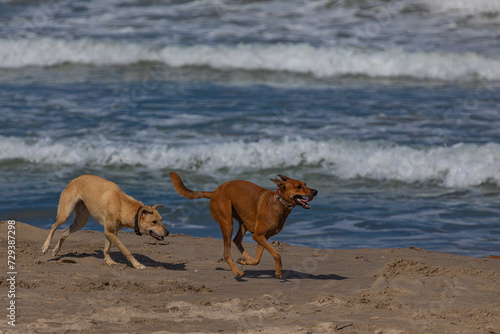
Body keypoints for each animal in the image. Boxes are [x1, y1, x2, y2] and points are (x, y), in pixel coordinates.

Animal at [41, 175, 170, 268]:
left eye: (161, 220)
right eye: (154, 222)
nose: (167, 233)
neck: (122, 206)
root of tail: (74, 180)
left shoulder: (111, 232)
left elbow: (107, 248)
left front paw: (109, 261)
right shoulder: (110, 232)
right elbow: (125, 250)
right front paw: (137, 264)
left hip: (81, 220)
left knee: (64, 232)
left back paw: (56, 250)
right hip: (65, 213)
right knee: (53, 226)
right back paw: (46, 246)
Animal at [168, 172, 316, 280]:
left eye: (305, 184)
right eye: (299, 186)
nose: (315, 191)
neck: (279, 203)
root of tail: (214, 192)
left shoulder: (263, 237)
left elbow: (257, 259)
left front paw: (246, 261)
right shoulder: (258, 236)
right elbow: (277, 254)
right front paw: (279, 271)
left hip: (243, 222)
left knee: (237, 240)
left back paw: (246, 258)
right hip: (227, 223)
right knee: (226, 252)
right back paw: (237, 272)